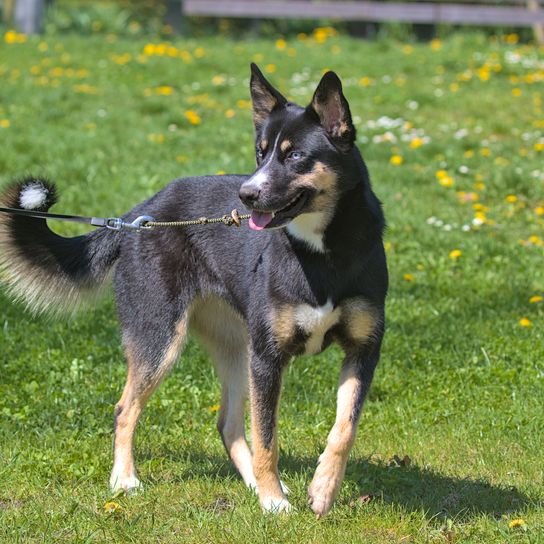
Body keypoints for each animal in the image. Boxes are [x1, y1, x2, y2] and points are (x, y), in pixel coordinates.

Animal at [0, 63, 386, 516]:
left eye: (294, 156)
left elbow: (344, 429)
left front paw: (322, 488)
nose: (246, 195)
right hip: (162, 337)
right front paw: (274, 502)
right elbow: (267, 438)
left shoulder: (362, 350)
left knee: (228, 424)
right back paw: (126, 479)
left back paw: (254, 485)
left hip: (237, 347)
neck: (323, 252)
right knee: (125, 408)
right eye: (260, 152)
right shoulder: (268, 358)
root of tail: (138, 215)